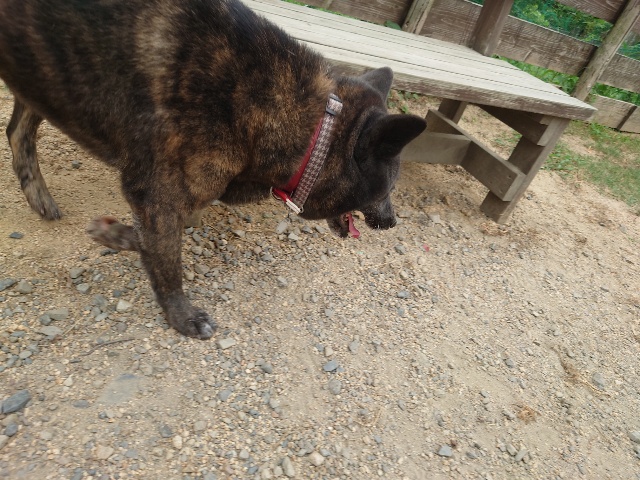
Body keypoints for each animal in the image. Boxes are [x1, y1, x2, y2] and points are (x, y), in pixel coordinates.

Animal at [0, 0, 426, 339]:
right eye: (389, 189)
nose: (392, 222)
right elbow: (165, 257)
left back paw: (39, 197)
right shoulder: (154, 196)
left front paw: (114, 234)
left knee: (17, 130)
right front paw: (182, 314)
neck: (308, 123)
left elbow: (158, 239)